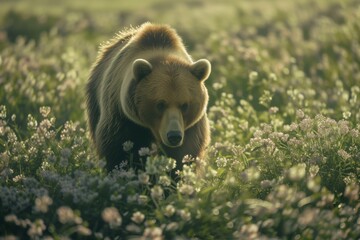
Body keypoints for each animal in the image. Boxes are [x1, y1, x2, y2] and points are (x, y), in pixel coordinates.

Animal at [86, 23, 211, 171]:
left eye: (185, 105)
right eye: (160, 104)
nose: (174, 136)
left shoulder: (191, 127)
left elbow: (185, 152)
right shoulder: (122, 117)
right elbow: (118, 148)